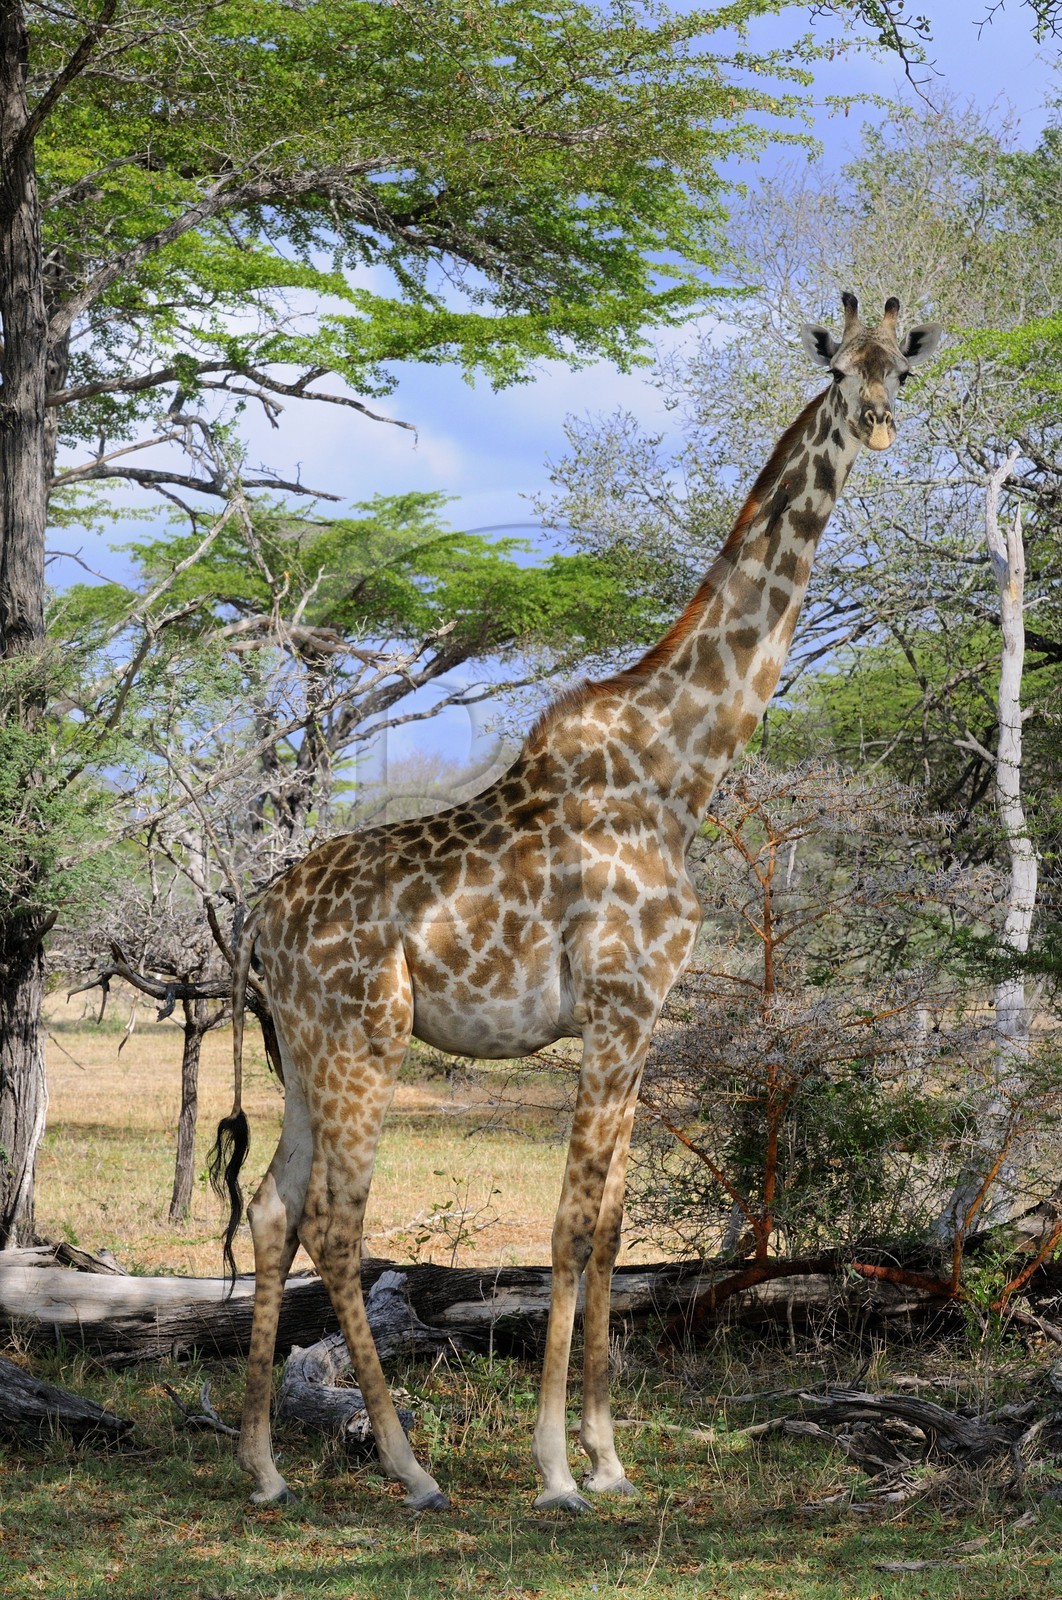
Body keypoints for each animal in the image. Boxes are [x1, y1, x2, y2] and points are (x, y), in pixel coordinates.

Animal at [210, 292, 941, 1514]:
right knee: (337, 1223)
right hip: (366, 1040)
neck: (681, 768)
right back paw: (410, 1467)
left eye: (904, 366)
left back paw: (265, 1466)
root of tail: (258, 919)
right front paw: (555, 1468)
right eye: (840, 368)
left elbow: (609, 1227)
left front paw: (610, 1455)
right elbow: (564, 1226)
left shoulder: (643, 1016)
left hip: (307, 1054)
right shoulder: (613, 1002)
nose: (883, 424)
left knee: (273, 1209)